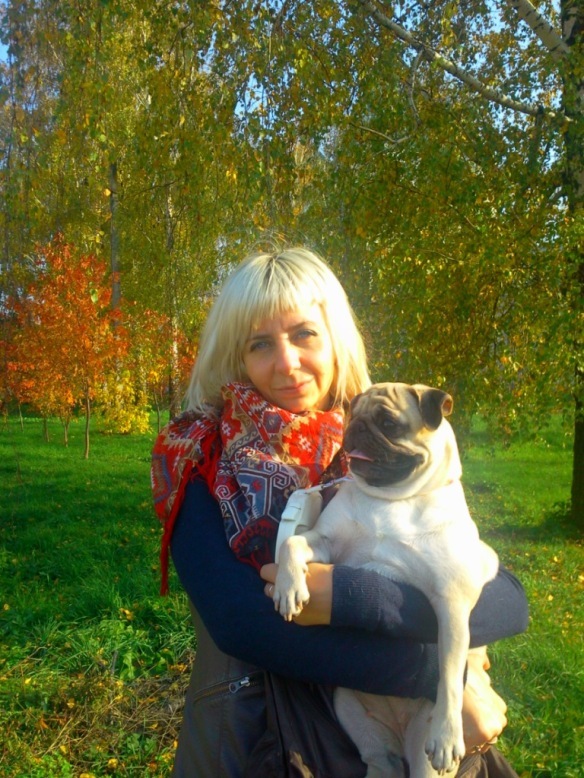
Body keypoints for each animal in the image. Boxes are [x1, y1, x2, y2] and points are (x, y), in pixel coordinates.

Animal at [272, 382, 500, 777]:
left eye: (388, 424)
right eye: (351, 414)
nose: (356, 428)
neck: (391, 500)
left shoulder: (452, 606)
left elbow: (451, 675)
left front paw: (447, 734)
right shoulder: (324, 543)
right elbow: (292, 543)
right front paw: (289, 588)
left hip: (421, 753)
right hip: (351, 712)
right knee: (381, 761)